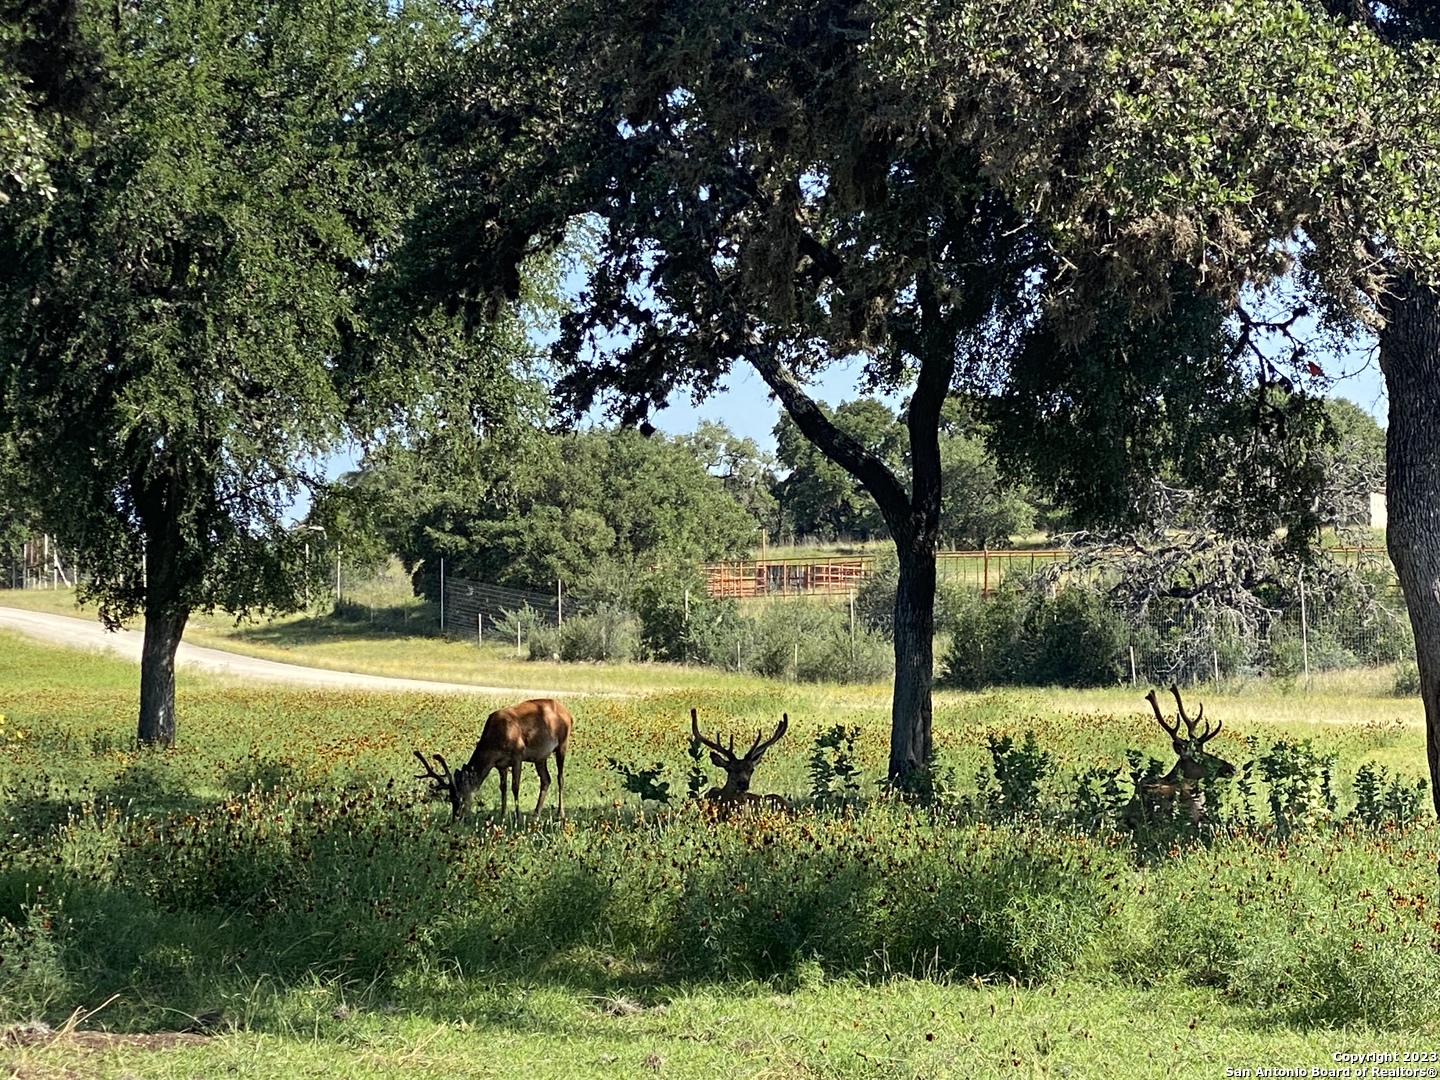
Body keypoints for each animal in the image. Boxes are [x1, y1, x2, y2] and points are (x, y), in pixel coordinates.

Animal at [414, 698, 572, 823]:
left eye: (459, 797)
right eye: (450, 798)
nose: (456, 818)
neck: (495, 743)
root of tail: (568, 713)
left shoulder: (518, 754)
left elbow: (515, 787)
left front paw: (517, 817)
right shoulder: (500, 764)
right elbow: (503, 788)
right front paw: (503, 816)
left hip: (563, 743)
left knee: (560, 778)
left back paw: (560, 814)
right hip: (540, 757)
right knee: (546, 779)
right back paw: (536, 814)